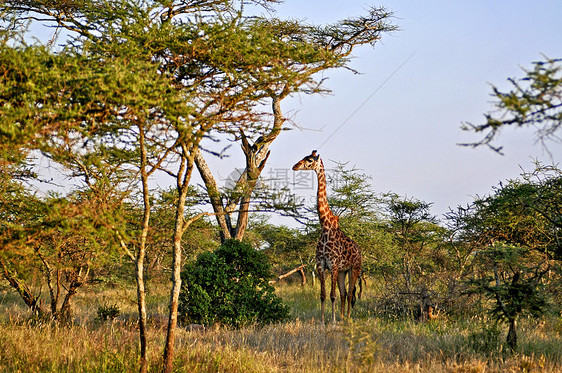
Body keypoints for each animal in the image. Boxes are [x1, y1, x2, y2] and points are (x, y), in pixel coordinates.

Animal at [290, 150, 360, 322]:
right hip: (343, 271)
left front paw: (333, 321)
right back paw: (342, 316)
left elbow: (332, 295)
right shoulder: (321, 265)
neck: (325, 226)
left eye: (309, 160)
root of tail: (360, 250)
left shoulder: (333, 265)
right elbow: (323, 295)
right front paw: (322, 321)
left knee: (349, 293)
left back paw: (347, 318)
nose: (295, 166)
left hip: (354, 268)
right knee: (344, 293)